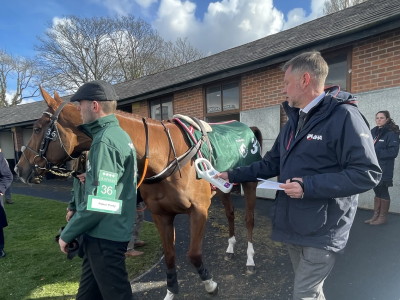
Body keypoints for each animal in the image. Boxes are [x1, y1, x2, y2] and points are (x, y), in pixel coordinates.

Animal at [14, 88, 260, 298]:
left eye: (37, 128)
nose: (19, 168)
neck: (168, 157)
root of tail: (247, 128)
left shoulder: (199, 210)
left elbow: (193, 254)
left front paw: (210, 284)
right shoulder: (162, 215)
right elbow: (169, 255)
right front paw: (171, 291)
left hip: (249, 183)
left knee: (248, 219)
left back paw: (250, 259)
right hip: (224, 187)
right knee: (230, 214)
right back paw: (230, 247)